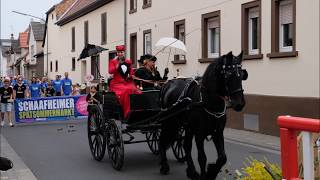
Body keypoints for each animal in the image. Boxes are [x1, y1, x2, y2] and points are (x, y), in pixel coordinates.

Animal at [159, 51, 248, 179]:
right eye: (228, 75)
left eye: (241, 75)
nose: (239, 103)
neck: (208, 101)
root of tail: (166, 84)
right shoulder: (199, 134)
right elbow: (202, 158)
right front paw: (205, 174)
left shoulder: (217, 132)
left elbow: (222, 157)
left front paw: (211, 172)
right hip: (169, 122)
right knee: (162, 140)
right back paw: (164, 166)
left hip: (186, 126)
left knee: (186, 146)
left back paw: (191, 171)